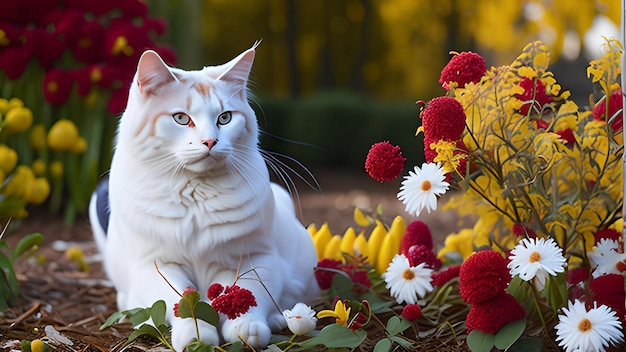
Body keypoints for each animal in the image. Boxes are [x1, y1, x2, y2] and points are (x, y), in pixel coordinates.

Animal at [88, 44, 320, 350]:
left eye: (225, 118)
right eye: (181, 118)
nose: (210, 141)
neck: (195, 195)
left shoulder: (256, 258)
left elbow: (247, 295)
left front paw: (246, 329)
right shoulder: (156, 265)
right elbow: (180, 302)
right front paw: (196, 336)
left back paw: (279, 319)